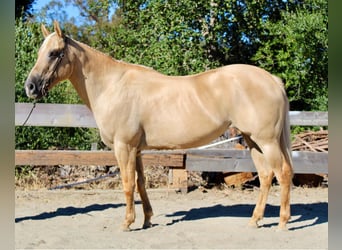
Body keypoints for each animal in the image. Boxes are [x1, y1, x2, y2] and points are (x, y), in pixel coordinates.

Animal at [24, 21, 292, 230]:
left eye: (53, 53)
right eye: (39, 52)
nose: (31, 87)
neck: (112, 86)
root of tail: (272, 80)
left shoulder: (124, 147)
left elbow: (127, 183)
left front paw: (127, 223)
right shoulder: (136, 150)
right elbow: (140, 183)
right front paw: (146, 220)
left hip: (266, 141)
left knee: (282, 173)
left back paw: (282, 222)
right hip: (253, 140)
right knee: (266, 176)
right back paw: (255, 220)